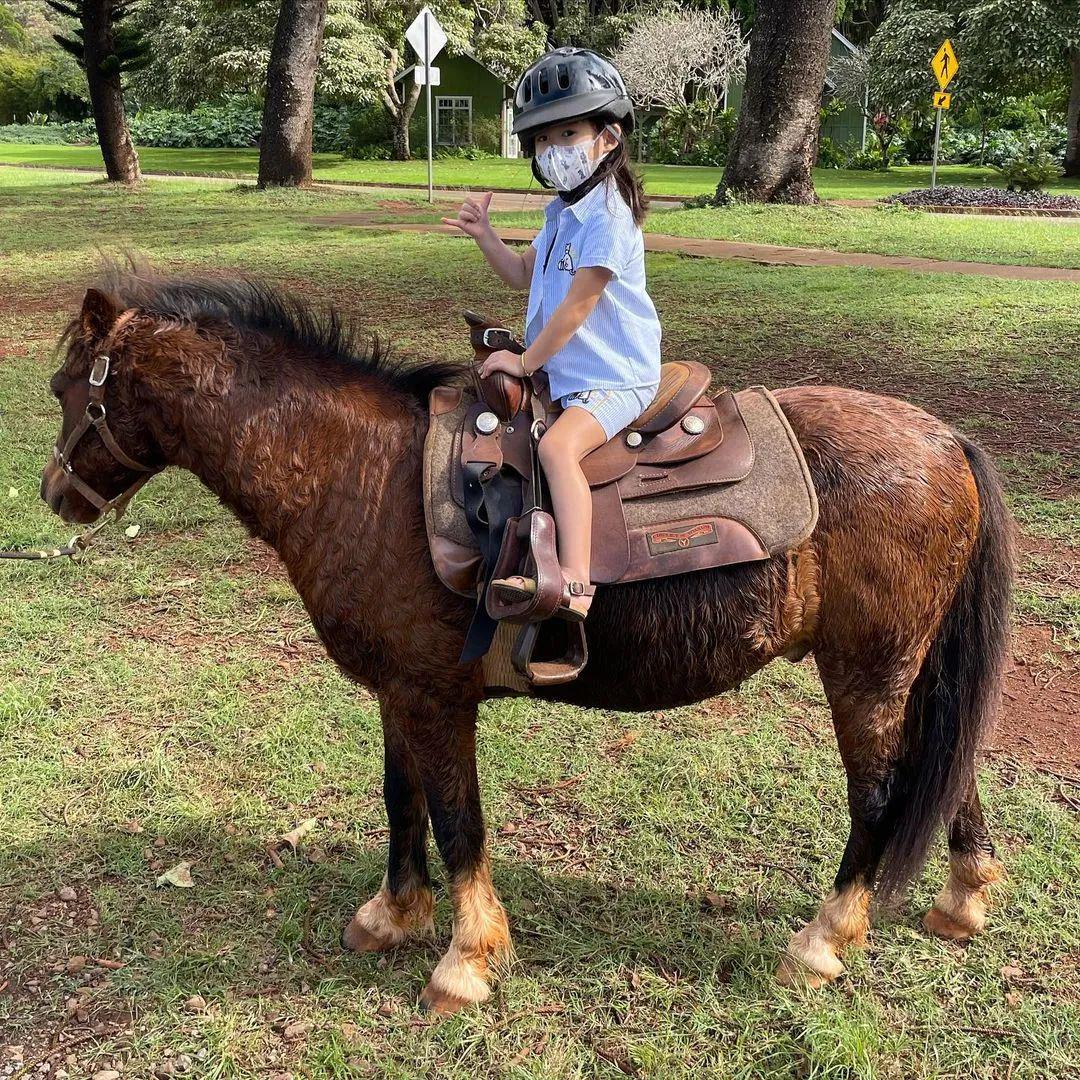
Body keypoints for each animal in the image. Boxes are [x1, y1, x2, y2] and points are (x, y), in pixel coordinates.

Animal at [39, 267, 1010, 1010]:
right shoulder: (402, 690)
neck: (361, 473)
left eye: (64, 391)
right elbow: (403, 800)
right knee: (944, 764)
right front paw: (394, 915)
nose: (53, 495)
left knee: (880, 794)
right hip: (908, 669)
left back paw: (823, 940)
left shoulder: (437, 698)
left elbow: (458, 821)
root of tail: (944, 437)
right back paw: (962, 900)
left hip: (866, 670)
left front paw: (464, 961)